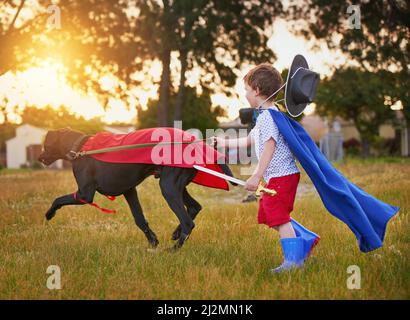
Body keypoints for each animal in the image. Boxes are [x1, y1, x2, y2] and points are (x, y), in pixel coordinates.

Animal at [40, 127, 237, 250]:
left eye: (45, 144)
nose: (40, 157)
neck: (80, 148)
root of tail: (192, 141)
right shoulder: (129, 190)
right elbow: (139, 219)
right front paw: (153, 241)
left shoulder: (84, 194)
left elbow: (58, 199)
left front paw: (49, 213)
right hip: (176, 185)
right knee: (195, 207)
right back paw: (175, 233)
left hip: (168, 187)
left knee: (189, 221)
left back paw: (173, 249)